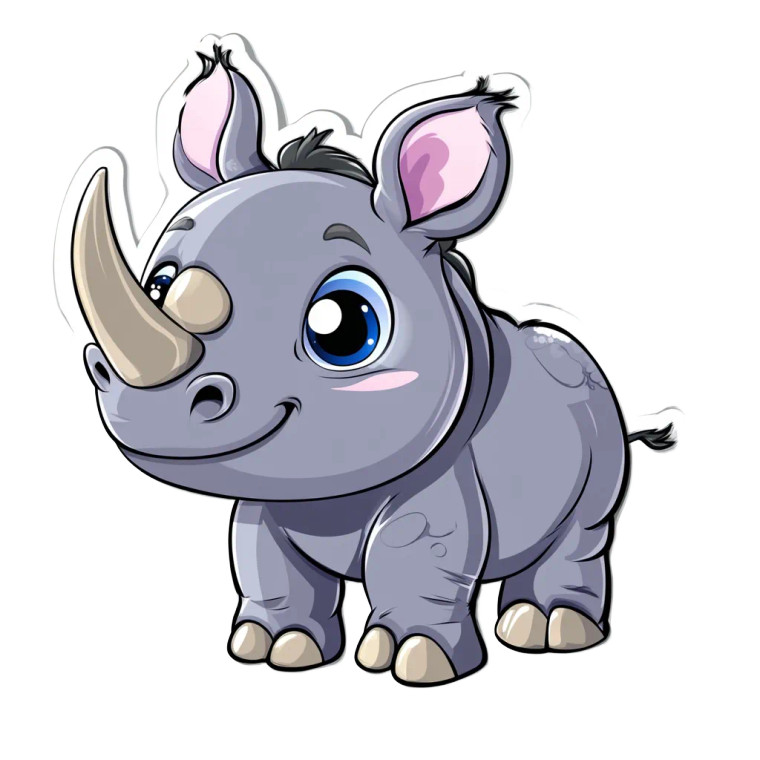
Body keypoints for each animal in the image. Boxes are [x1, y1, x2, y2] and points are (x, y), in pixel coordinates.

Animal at [70, 44, 674, 686]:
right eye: (159, 285)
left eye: (344, 328)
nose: (151, 411)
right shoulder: (270, 502)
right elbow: (265, 562)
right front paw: (273, 648)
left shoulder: (440, 477)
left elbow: (414, 556)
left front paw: (416, 660)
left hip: (597, 414)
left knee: (586, 527)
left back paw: (551, 630)